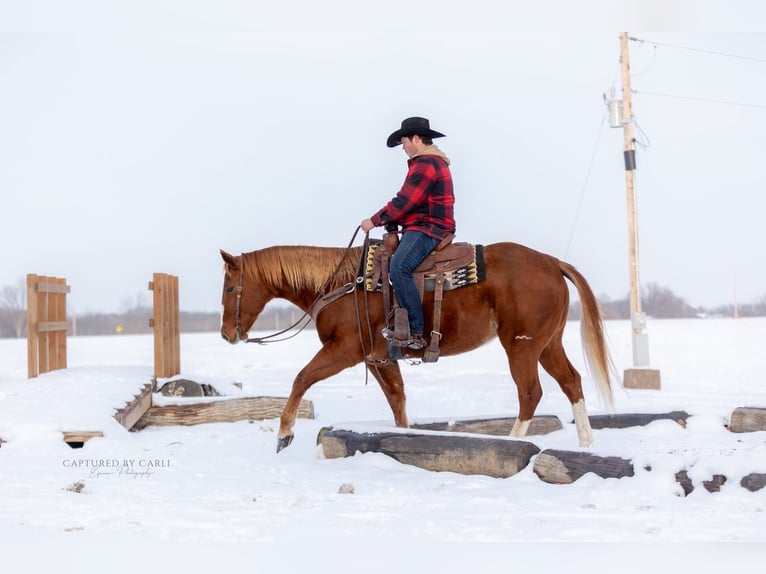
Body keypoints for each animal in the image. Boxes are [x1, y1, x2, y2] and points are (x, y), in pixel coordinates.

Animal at [220, 241, 616, 452]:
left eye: (230, 287)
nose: (226, 334)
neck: (344, 284)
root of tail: (552, 262)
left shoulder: (343, 351)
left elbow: (302, 378)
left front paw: (284, 434)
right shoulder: (379, 359)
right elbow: (398, 401)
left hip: (522, 347)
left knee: (530, 392)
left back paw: (514, 441)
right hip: (548, 345)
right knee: (571, 382)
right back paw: (586, 442)